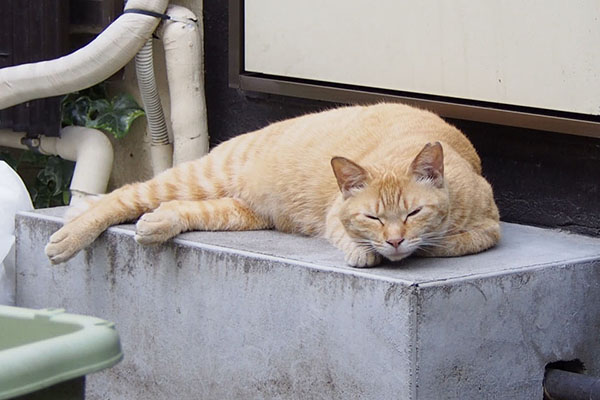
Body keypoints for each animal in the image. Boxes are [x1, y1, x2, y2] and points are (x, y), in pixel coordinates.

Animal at [44, 103, 500, 268]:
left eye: (413, 212)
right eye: (372, 217)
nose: (394, 241)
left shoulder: (490, 229)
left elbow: (451, 243)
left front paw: (421, 245)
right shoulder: (335, 216)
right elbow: (349, 237)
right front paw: (366, 252)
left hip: (239, 212)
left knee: (181, 209)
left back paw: (157, 224)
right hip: (198, 177)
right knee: (124, 194)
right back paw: (69, 231)